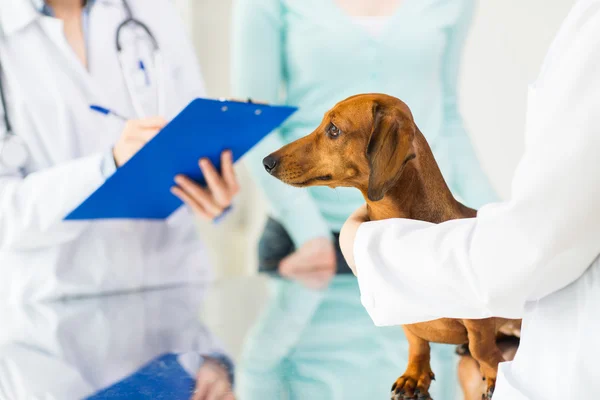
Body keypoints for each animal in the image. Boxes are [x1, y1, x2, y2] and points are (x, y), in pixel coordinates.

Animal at [262, 94, 520, 400]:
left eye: (334, 129)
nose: (266, 161)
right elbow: (417, 345)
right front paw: (415, 375)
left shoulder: (478, 319)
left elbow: (481, 348)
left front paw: (493, 375)